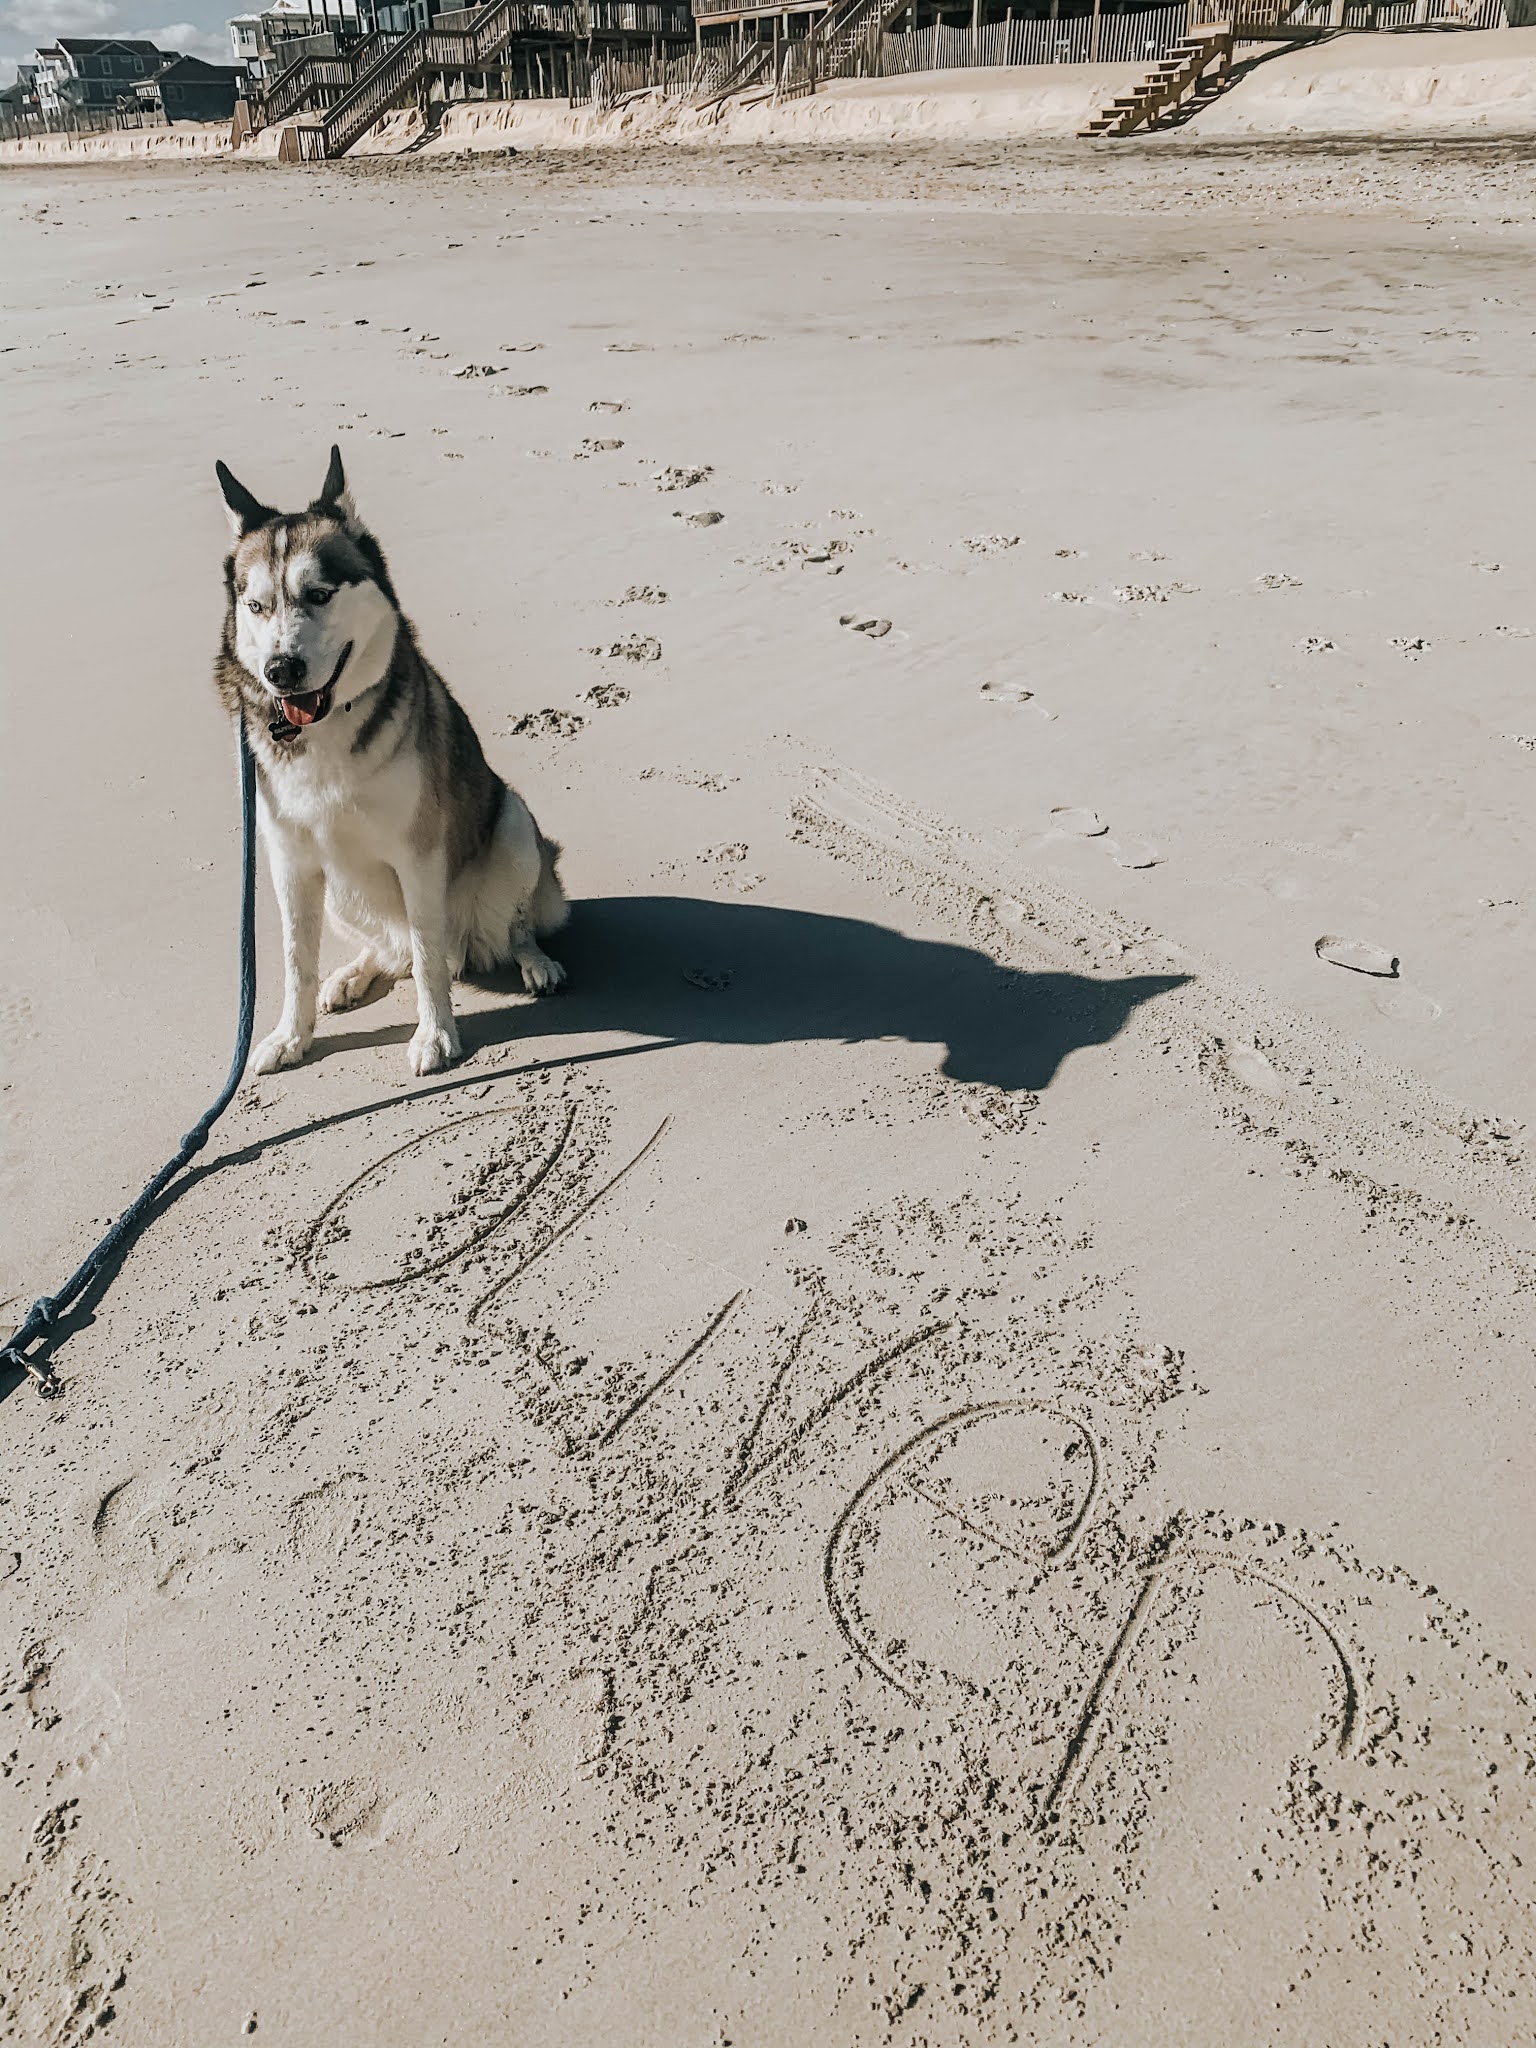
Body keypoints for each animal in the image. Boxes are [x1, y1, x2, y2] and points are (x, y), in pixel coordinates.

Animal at [217, 448, 573, 1081]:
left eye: (319, 594)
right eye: (256, 606)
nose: (282, 670)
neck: (326, 732)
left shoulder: (420, 856)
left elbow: (428, 957)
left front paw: (435, 1035)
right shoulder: (289, 865)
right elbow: (295, 959)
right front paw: (290, 1035)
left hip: (513, 825)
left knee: (507, 924)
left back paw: (534, 959)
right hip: (338, 891)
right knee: (392, 947)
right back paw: (355, 972)